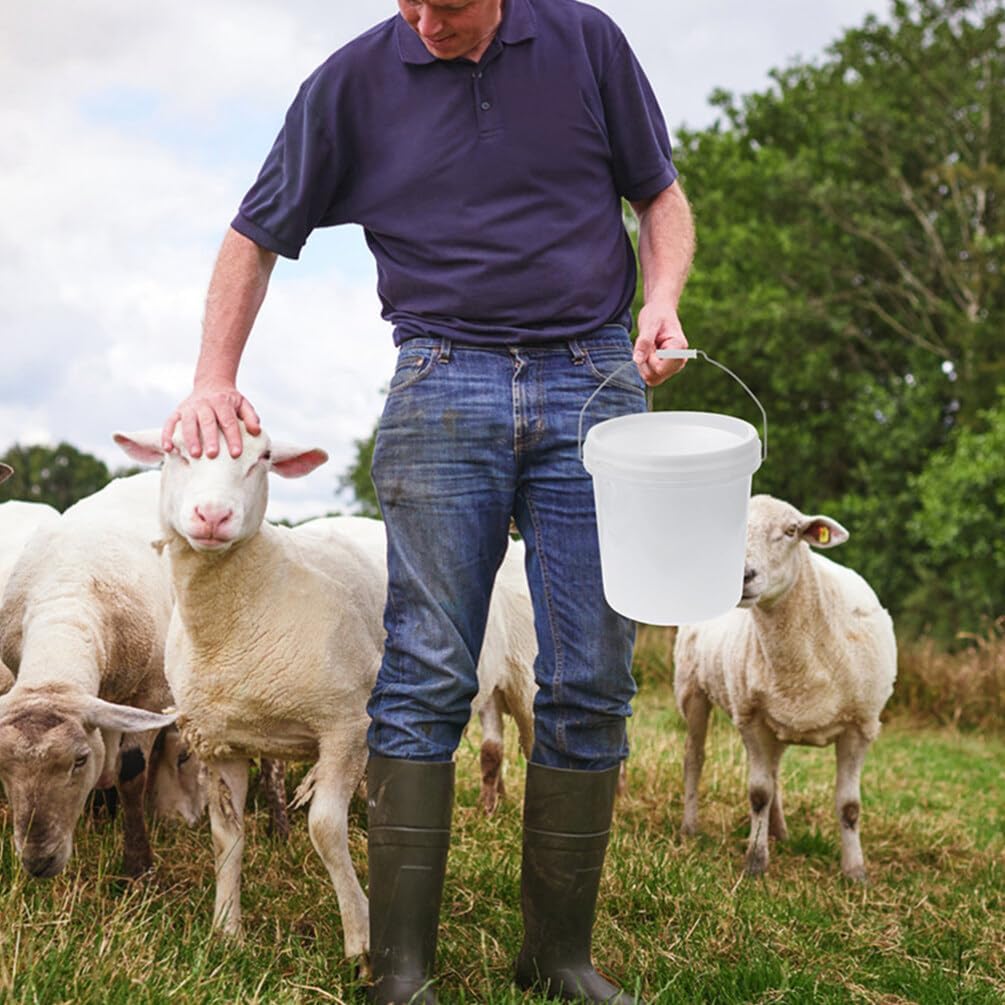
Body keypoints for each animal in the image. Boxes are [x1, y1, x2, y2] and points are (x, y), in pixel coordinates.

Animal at [0, 474, 176, 876]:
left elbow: (131, 773)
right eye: (2, 765)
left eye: (79, 760)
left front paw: (138, 867)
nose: (38, 862)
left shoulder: (153, 696)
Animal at [114, 424, 538, 964]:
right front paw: (226, 932)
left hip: (528, 677)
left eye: (263, 458)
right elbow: (226, 837)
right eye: (174, 451)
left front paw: (360, 940)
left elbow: (324, 831)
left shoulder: (346, 727)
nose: (213, 516)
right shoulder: (221, 741)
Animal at [675, 494, 896, 880]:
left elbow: (849, 806)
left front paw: (855, 873)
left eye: (792, 530)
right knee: (694, 757)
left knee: (775, 770)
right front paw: (755, 861)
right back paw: (691, 827)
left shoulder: (861, 725)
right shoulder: (750, 718)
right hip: (692, 688)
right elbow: (759, 793)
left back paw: (779, 831)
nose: (742, 576)